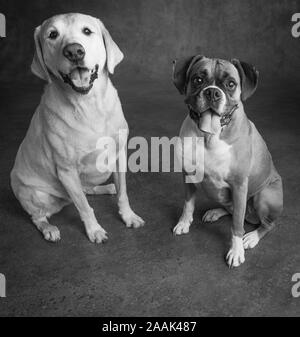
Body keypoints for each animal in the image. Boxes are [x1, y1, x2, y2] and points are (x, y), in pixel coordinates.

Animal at [12, 13, 146, 242]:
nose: (74, 51)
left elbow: (123, 193)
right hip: (36, 194)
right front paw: (94, 230)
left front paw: (128, 216)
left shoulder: (119, 156)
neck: (89, 105)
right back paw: (49, 229)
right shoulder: (67, 171)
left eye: (87, 31)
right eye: (52, 35)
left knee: (87, 190)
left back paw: (106, 187)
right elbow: (84, 207)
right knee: (38, 216)